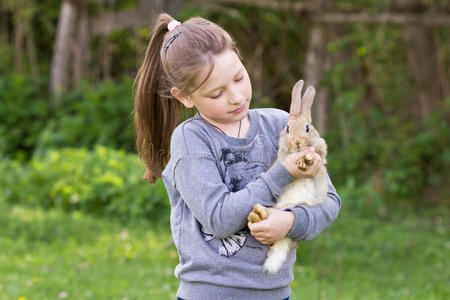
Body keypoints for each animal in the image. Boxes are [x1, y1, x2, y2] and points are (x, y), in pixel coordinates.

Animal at [248, 79, 328, 274]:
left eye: (307, 128)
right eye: (288, 129)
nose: (297, 143)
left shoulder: (321, 148)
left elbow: (319, 153)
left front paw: (308, 159)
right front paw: (302, 162)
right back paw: (257, 215)